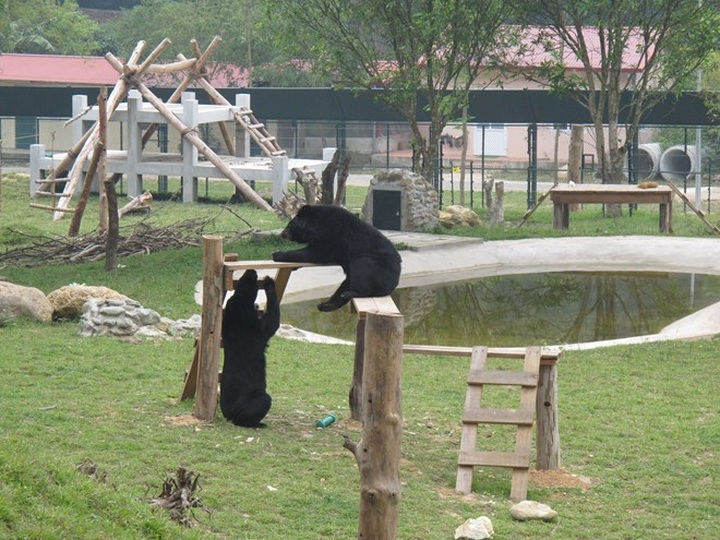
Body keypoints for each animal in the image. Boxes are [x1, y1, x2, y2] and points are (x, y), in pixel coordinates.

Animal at [220, 269, 280, 427]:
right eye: (249, 282)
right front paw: (269, 283)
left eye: (242, 279)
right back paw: (258, 424)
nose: (251, 271)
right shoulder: (258, 328)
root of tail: (228, 415)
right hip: (256, 399)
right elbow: (273, 321)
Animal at [272, 204, 402, 312]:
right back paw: (326, 305)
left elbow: (316, 253)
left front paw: (277, 254)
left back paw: (350, 293)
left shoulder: (332, 235)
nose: (282, 234)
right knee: (346, 284)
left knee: (362, 267)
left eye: (289, 225)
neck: (318, 224)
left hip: (377, 266)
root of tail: (395, 283)